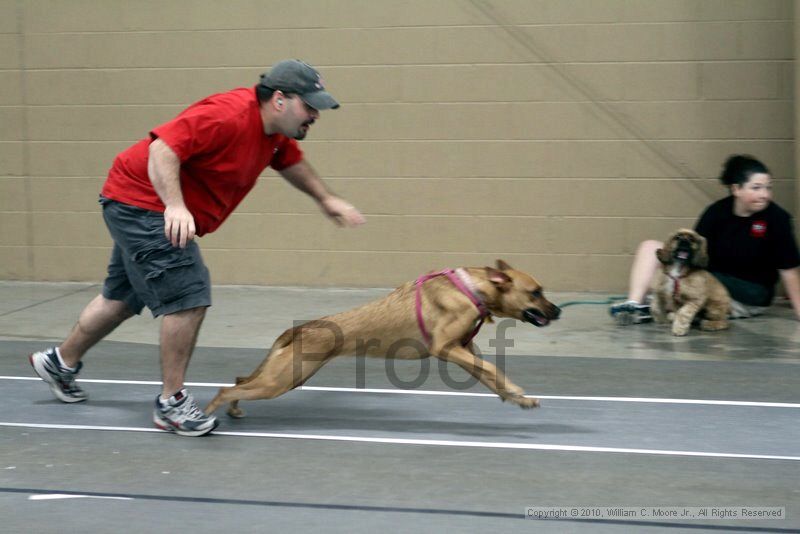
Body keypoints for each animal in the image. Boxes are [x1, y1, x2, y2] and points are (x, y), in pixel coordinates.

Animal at [203, 260, 560, 418]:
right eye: (536, 292)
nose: (557, 311)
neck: (473, 289)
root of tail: (300, 329)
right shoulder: (445, 349)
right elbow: (495, 371)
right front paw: (516, 391)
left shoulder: (463, 350)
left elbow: (490, 375)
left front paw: (517, 398)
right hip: (281, 380)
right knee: (226, 389)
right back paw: (207, 416)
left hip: (285, 377)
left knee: (238, 382)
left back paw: (233, 411)